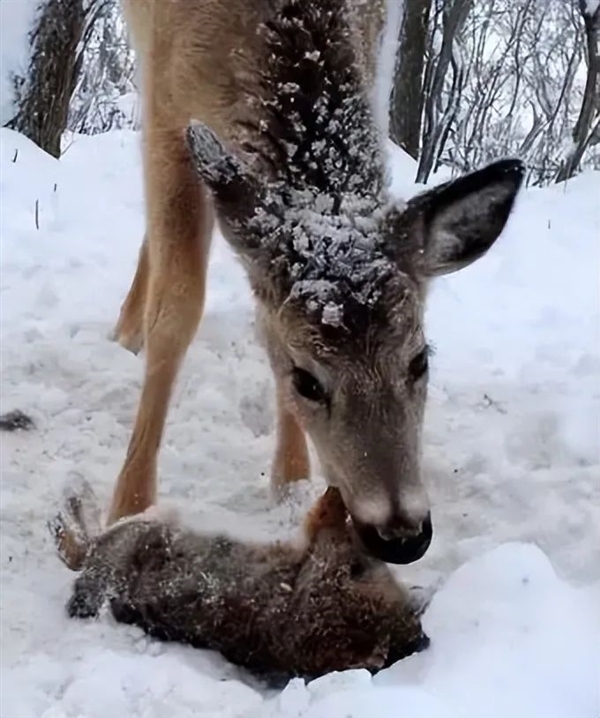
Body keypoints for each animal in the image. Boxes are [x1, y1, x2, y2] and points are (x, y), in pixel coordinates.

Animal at [109, 0, 524, 564]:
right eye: (306, 379)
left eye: (420, 360)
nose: (402, 535)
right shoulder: (168, 104)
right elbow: (177, 312)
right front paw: (127, 507)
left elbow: (264, 315)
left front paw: (292, 484)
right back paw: (127, 331)